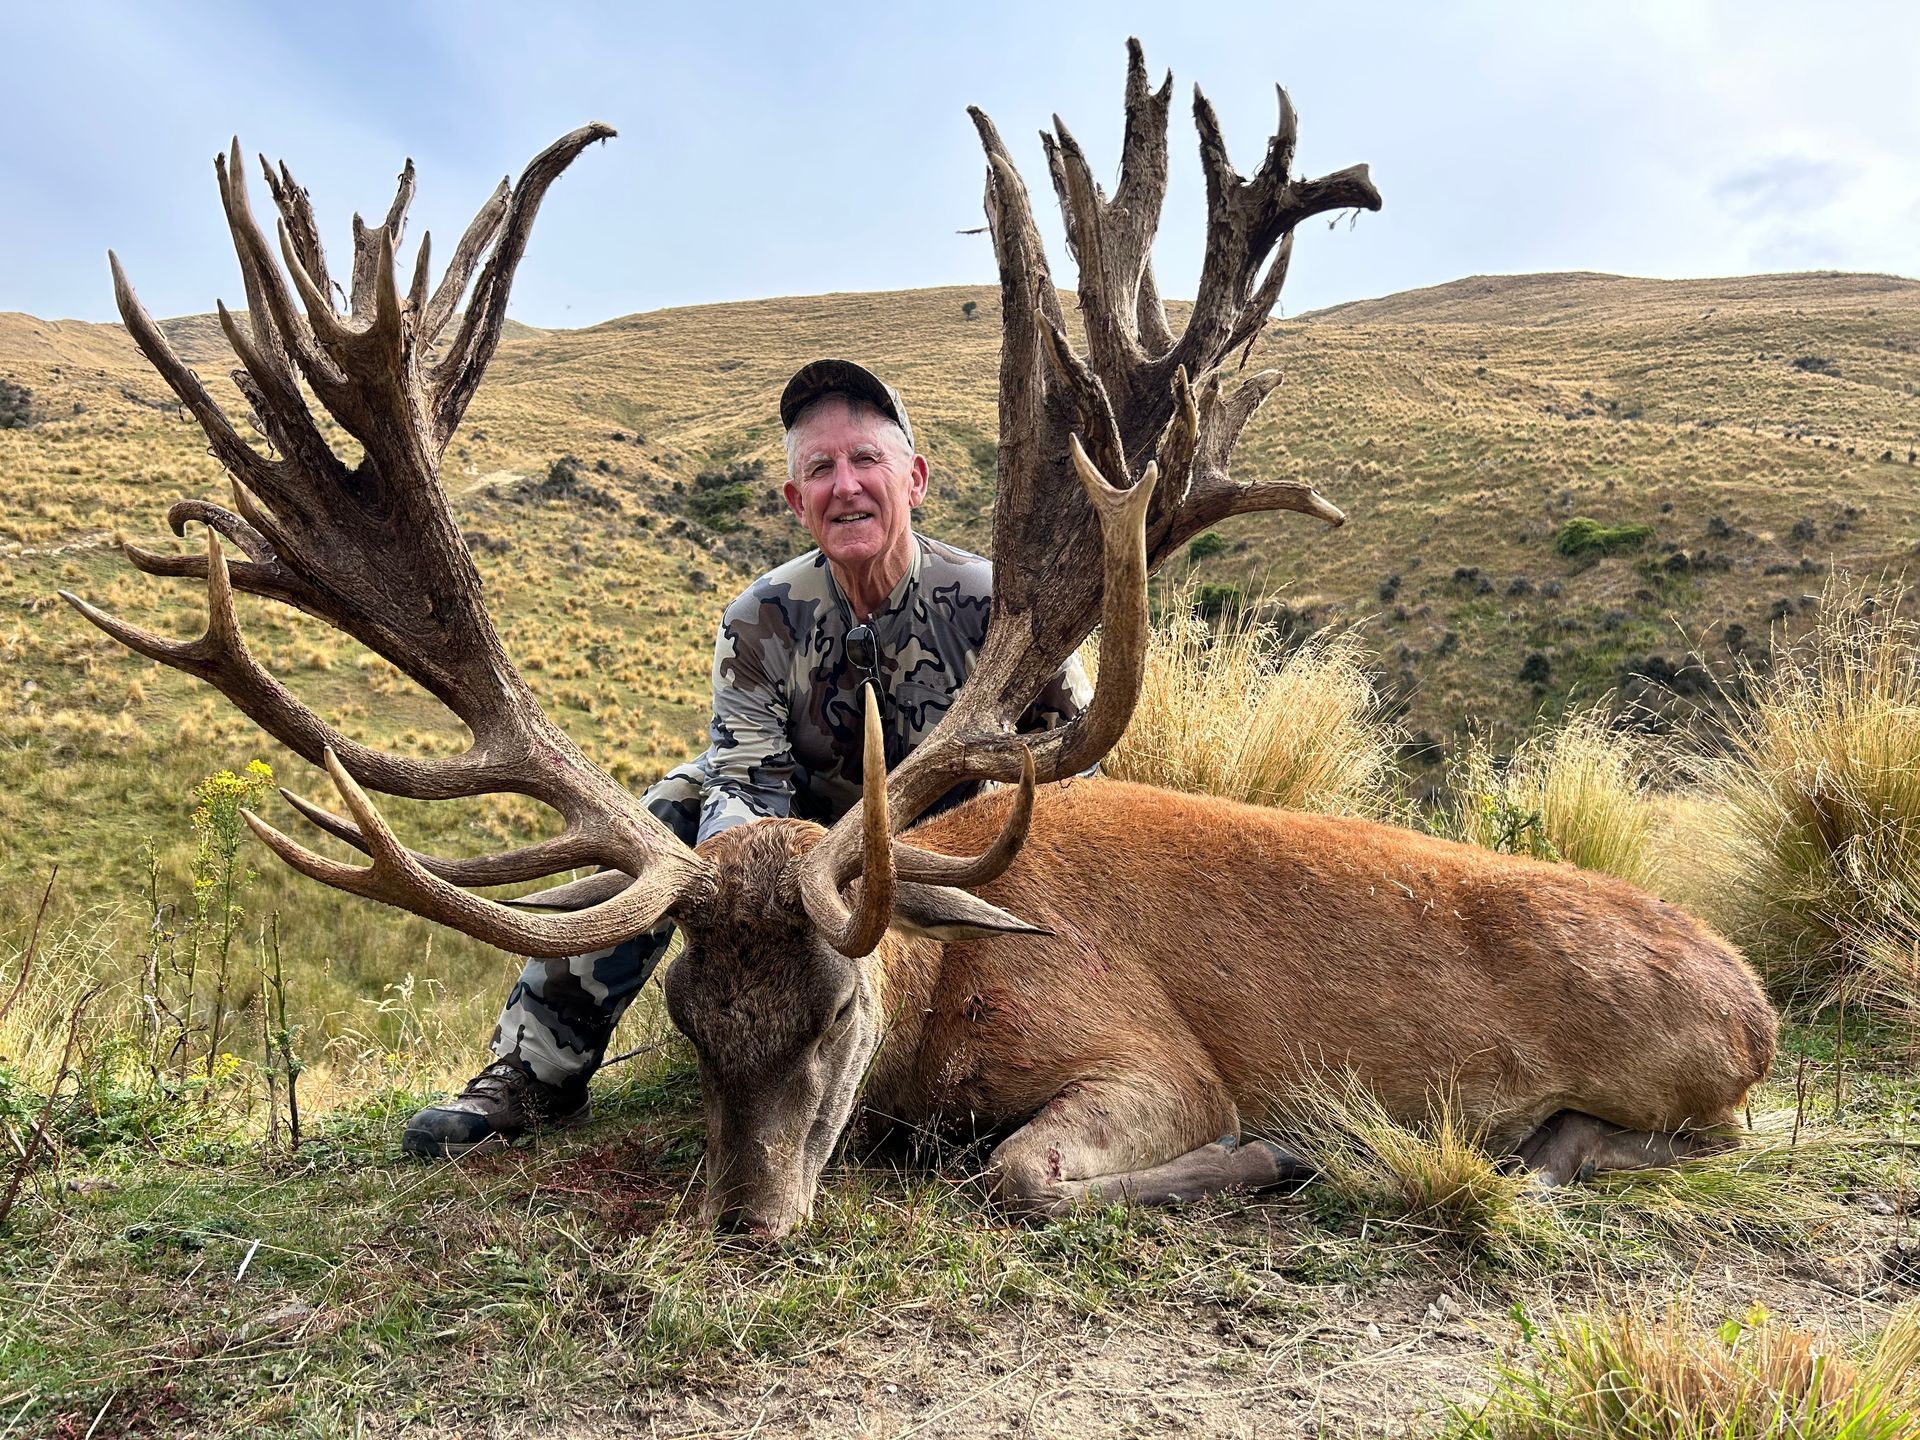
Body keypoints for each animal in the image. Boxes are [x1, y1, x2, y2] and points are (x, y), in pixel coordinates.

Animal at [66, 41, 1776, 1240]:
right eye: (686, 1016)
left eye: (837, 1010)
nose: (746, 1223)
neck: (944, 986)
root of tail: (1757, 997)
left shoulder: (1151, 1052)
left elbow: (1014, 1175)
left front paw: (1280, 1153)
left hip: (1688, 1073)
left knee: (1710, 1134)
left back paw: (1526, 1156)